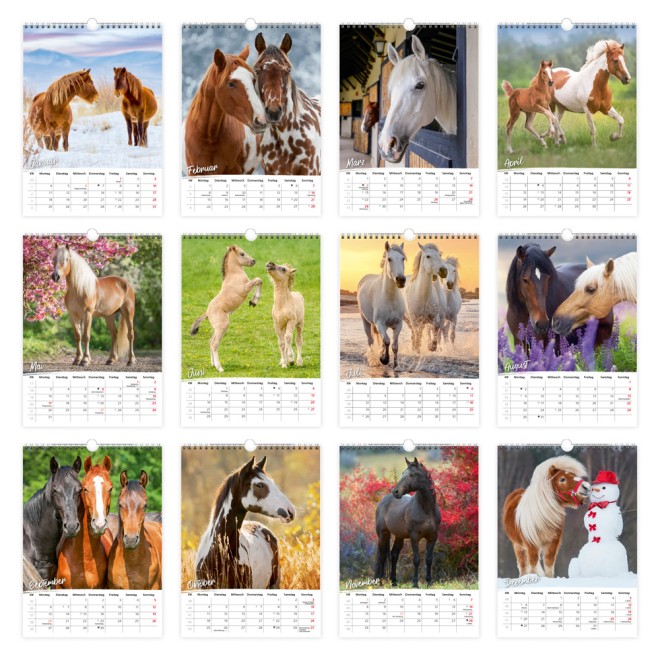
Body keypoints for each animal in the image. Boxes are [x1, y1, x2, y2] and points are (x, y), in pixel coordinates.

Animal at [190, 245, 263, 373]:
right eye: (242, 253)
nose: (253, 261)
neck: (234, 275)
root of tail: (207, 312)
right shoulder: (245, 288)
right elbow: (258, 280)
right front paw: (254, 301)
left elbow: (259, 281)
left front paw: (253, 301)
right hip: (223, 326)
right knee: (214, 344)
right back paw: (219, 368)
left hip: (217, 328)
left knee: (210, 341)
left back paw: (213, 364)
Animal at [375, 458, 441, 588]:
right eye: (402, 474)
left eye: (411, 475)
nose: (395, 492)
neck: (426, 510)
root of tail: (383, 501)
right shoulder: (414, 537)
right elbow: (416, 560)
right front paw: (415, 584)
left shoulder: (433, 537)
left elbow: (429, 559)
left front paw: (429, 583)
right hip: (383, 535)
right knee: (381, 556)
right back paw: (379, 582)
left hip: (399, 536)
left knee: (394, 555)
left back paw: (394, 582)